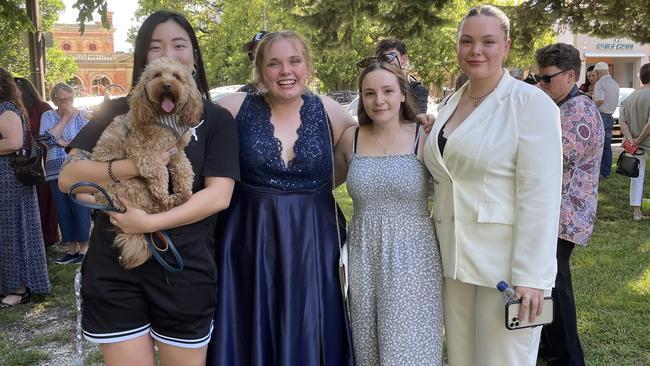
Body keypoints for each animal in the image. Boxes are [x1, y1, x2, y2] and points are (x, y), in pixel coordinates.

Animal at [91, 57, 202, 268]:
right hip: (131, 187)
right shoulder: (144, 152)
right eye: (157, 75)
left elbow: (185, 170)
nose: (167, 85)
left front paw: (184, 192)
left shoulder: (176, 152)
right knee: (150, 211)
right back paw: (165, 203)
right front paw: (164, 195)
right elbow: (160, 173)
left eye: (177, 77)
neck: (165, 117)